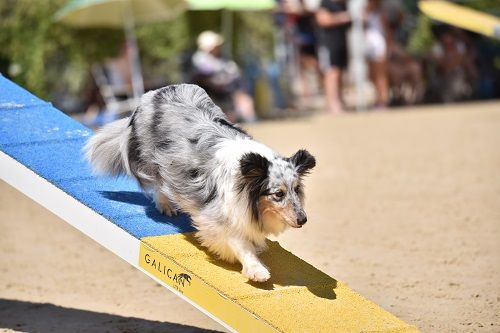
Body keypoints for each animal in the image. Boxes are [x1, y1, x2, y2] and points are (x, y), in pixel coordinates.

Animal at [83, 84, 314, 282]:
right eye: (278, 194)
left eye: (296, 190)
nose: (303, 220)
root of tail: (155, 92)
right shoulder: (214, 217)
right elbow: (238, 242)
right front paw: (256, 270)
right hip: (153, 159)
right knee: (158, 183)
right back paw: (165, 205)